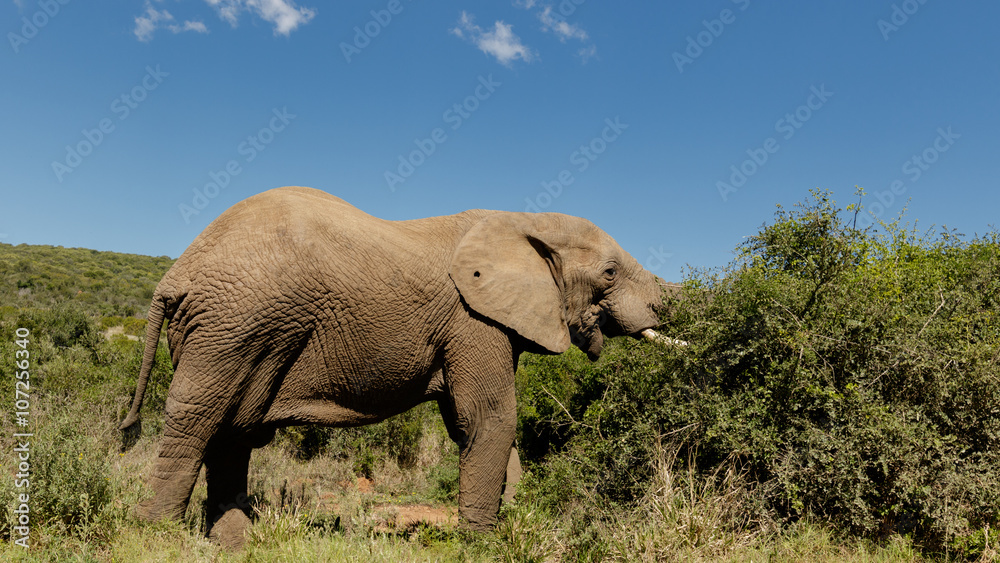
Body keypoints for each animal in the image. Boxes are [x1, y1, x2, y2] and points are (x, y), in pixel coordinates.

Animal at [119, 186, 670, 547]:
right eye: (609, 272)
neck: (521, 219)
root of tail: (175, 274)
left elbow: (475, 425)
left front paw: (514, 521)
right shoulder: (472, 320)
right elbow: (489, 418)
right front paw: (484, 543)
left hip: (238, 328)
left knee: (232, 428)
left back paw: (235, 543)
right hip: (232, 322)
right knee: (198, 417)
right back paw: (155, 536)